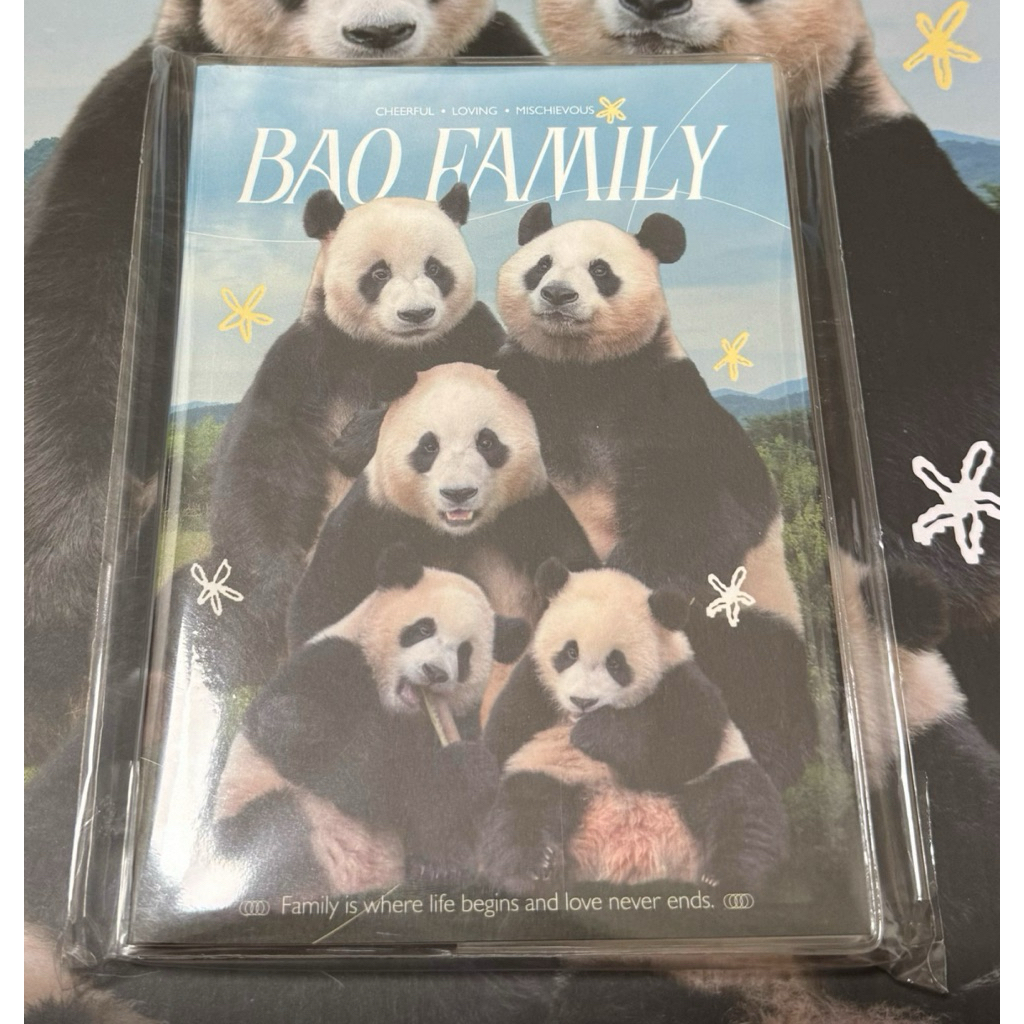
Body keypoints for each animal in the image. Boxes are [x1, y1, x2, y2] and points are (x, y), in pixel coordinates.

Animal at [200, 183, 503, 693]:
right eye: (379, 273)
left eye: (435, 269)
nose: (417, 314)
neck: (387, 350)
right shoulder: (305, 361)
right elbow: (263, 461)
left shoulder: (472, 335)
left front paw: (358, 439)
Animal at [210, 543, 530, 896]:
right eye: (423, 629)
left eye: (464, 653)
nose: (434, 672)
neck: (397, 709)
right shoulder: (329, 664)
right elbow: (353, 770)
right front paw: (464, 765)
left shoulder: (459, 719)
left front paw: (441, 866)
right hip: (254, 815)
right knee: (278, 825)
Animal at [287, 360, 600, 716]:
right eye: (429, 446)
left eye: (486, 442)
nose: (458, 493)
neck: (455, 533)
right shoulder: (376, 516)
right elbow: (324, 602)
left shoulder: (531, 512)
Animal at [480, 560, 787, 894]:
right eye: (570, 652)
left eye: (616, 663)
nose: (582, 701)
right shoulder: (531, 684)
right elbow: (500, 740)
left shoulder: (678, 679)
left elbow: (690, 744)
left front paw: (595, 734)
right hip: (551, 776)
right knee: (520, 812)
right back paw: (537, 870)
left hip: (715, 779)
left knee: (742, 808)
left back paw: (723, 877)